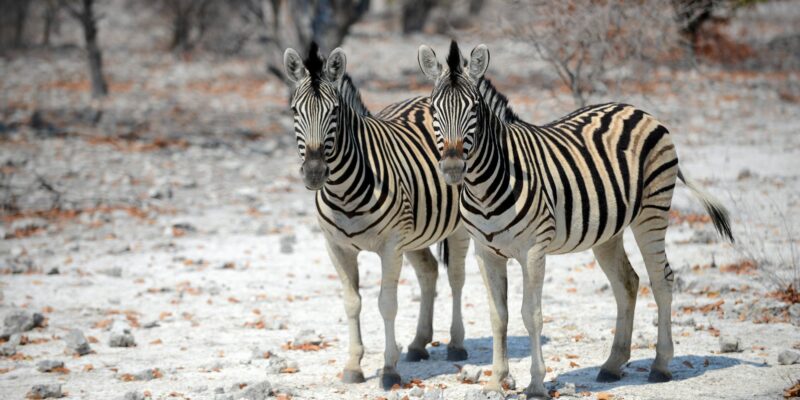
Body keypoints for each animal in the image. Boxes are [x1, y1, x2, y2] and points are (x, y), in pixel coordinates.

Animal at [282, 43, 468, 388]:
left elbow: (387, 304)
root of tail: (426, 97)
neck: (343, 190)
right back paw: (418, 344)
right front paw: (354, 366)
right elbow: (352, 302)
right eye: (294, 111)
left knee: (456, 277)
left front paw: (389, 369)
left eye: (334, 112)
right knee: (429, 271)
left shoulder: (391, 246)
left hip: (457, 227)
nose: (314, 173)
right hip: (417, 231)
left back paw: (456, 344)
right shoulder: (336, 248)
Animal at [416, 41, 736, 400]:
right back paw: (612, 365)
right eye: (433, 109)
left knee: (662, 279)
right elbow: (498, 316)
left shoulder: (533, 250)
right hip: (608, 231)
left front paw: (536, 384)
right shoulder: (485, 253)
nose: (452, 168)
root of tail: (638, 109)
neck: (486, 185)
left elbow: (532, 314)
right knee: (628, 282)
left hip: (652, 212)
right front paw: (496, 381)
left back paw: (660, 366)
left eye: (473, 109)